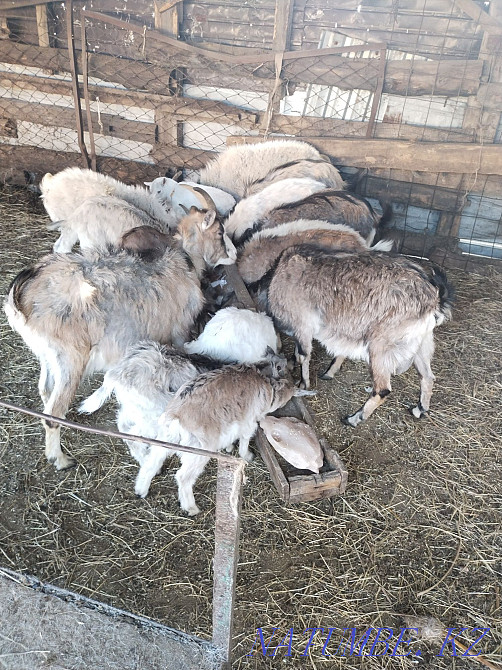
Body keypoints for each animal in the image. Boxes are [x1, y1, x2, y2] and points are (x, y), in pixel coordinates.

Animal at [3, 210, 236, 471]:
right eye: (220, 232)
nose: (233, 255)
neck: (183, 259)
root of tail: (20, 294)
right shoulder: (176, 333)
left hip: (47, 355)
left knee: (45, 390)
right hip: (70, 358)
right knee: (53, 414)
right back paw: (61, 459)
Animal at [256, 246, 454, 425]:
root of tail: (435, 299)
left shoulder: (302, 325)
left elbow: (303, 355)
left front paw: (303, 383)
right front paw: (329, 372)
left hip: (380, 346)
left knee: (382, 389)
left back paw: (354, 418)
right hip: (423, 340)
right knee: (427, 376)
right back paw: (419, 409)